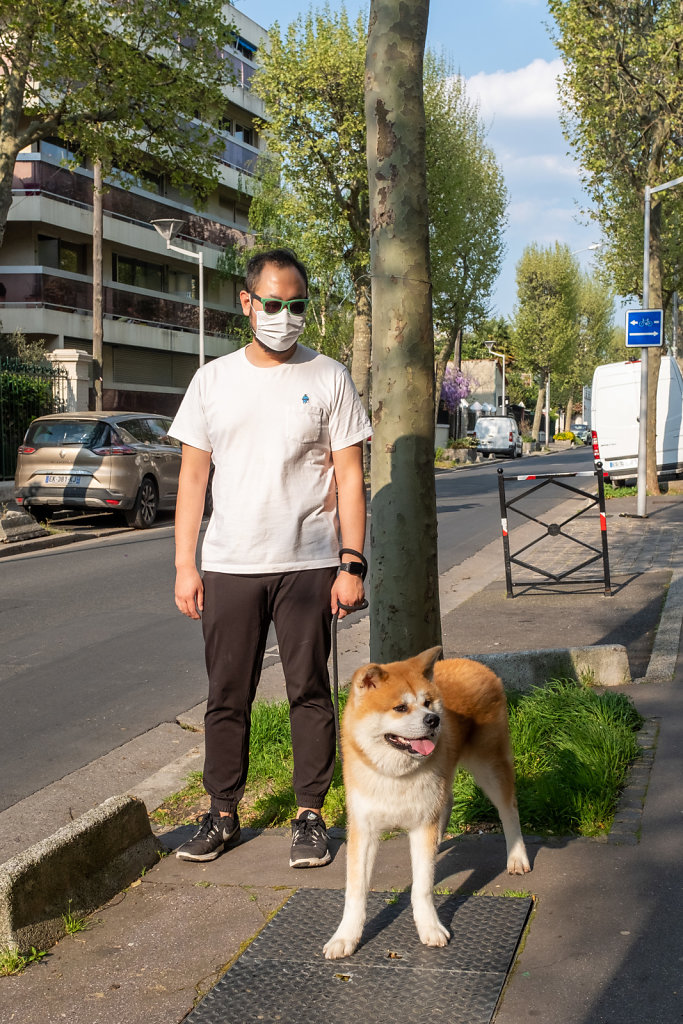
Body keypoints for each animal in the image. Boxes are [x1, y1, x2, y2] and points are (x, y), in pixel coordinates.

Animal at [323, 647, 532, 958]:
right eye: (400, 708)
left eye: (427, 702)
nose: (433, 720)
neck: (396, 775)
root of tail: (476, 664)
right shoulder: (363, 828)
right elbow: (356, 890)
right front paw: (345, 936)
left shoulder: (422, 824)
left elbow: (421, 886)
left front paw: (430, 927)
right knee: (448, 800)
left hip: (490, 766)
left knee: (509, 809)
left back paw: (517, 856)